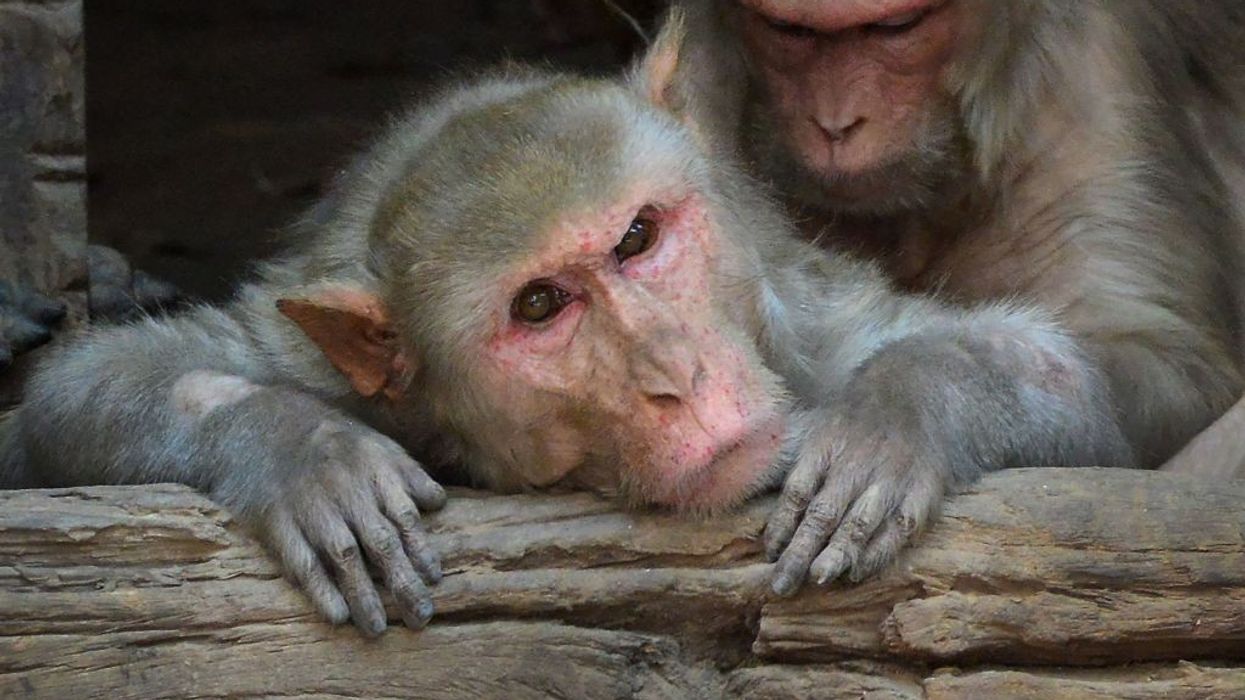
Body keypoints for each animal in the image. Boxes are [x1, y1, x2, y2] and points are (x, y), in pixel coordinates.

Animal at [1, 12, 1135, 635]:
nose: (675, 373)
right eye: (541, 304)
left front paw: (887, 422)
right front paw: (307, 455)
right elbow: (72, 393)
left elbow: (1078, 383)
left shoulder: (796, 328)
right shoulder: (330, 361)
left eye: (637, 238)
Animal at [660, 0, 1245, 593]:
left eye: (896, 29)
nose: (835, 124)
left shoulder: (1093, 83)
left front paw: (906, 401)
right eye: (788, 31)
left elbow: (1168, 370)